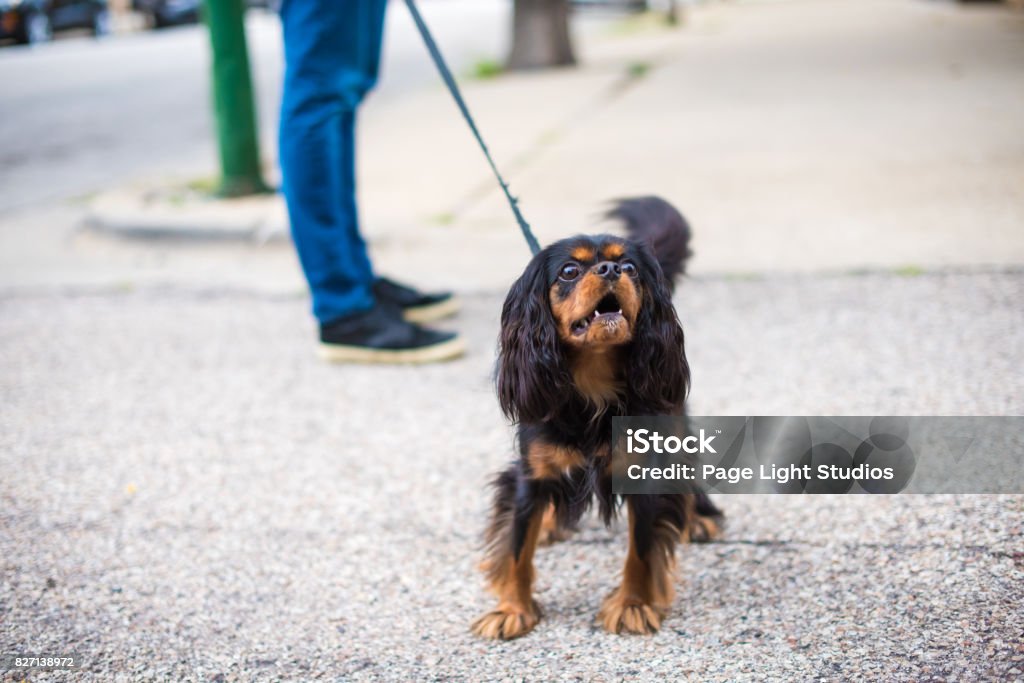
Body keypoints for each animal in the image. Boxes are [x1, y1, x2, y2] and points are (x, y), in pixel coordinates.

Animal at [471, 193, 720, 643]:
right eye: (570, 270)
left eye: (631, 268)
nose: (610, 270)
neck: (592, 384)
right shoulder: (530, 474)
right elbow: (516, 547)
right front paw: (511, 610)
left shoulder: (644, 473)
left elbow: (641, 549)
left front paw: (632, 605)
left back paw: (699, 518)